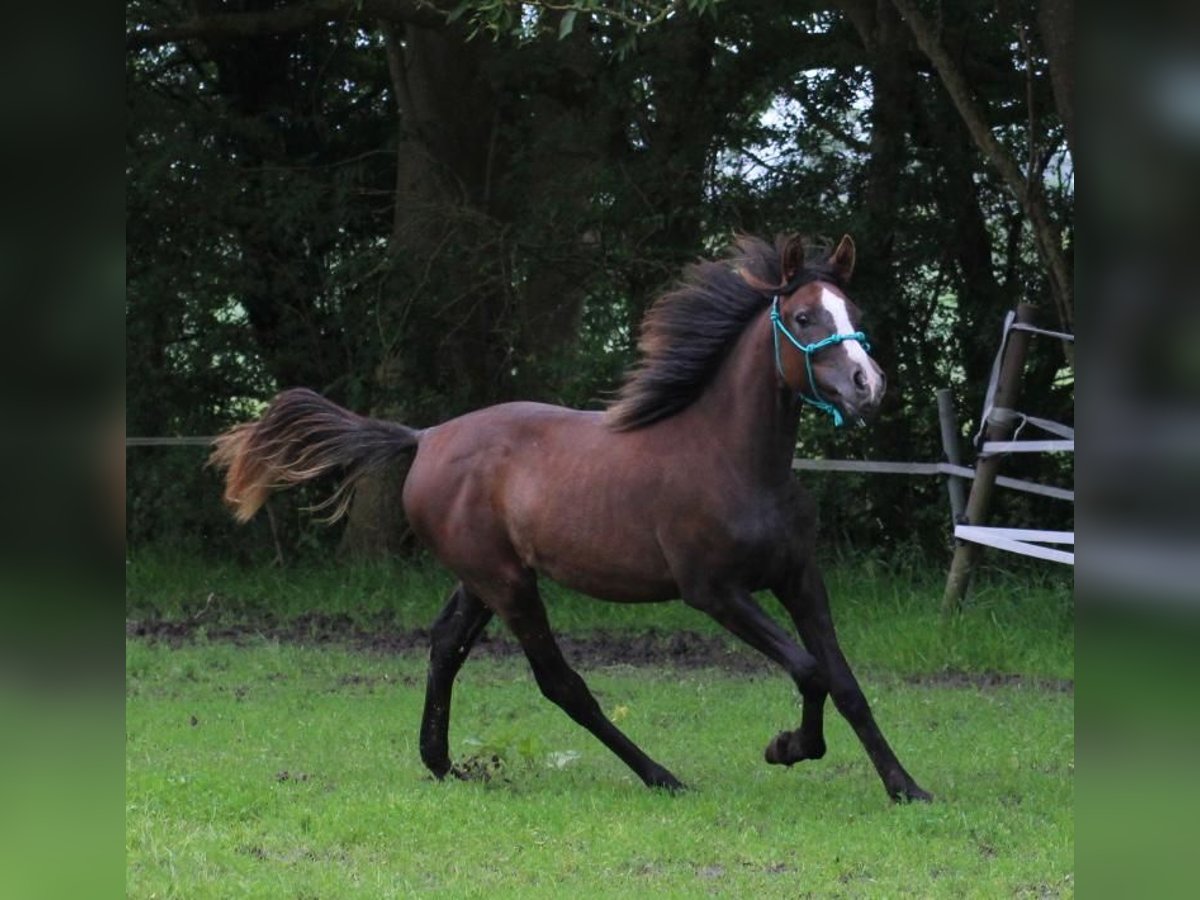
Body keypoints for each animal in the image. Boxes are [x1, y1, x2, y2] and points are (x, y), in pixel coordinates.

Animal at [213, 232, 926, 801]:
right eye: (804, 316)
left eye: (854, 312)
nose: (867, 385)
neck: (738, 461)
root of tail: (425, 437)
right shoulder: (714, 592)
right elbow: (809, 670)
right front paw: (787, 747)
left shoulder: (800, 578)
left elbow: (844, 682)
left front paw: (905, 787)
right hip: (507, 583)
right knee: (559, 681)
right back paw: (660, 776)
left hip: (482, 580)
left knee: (446, 646)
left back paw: (443, 764)